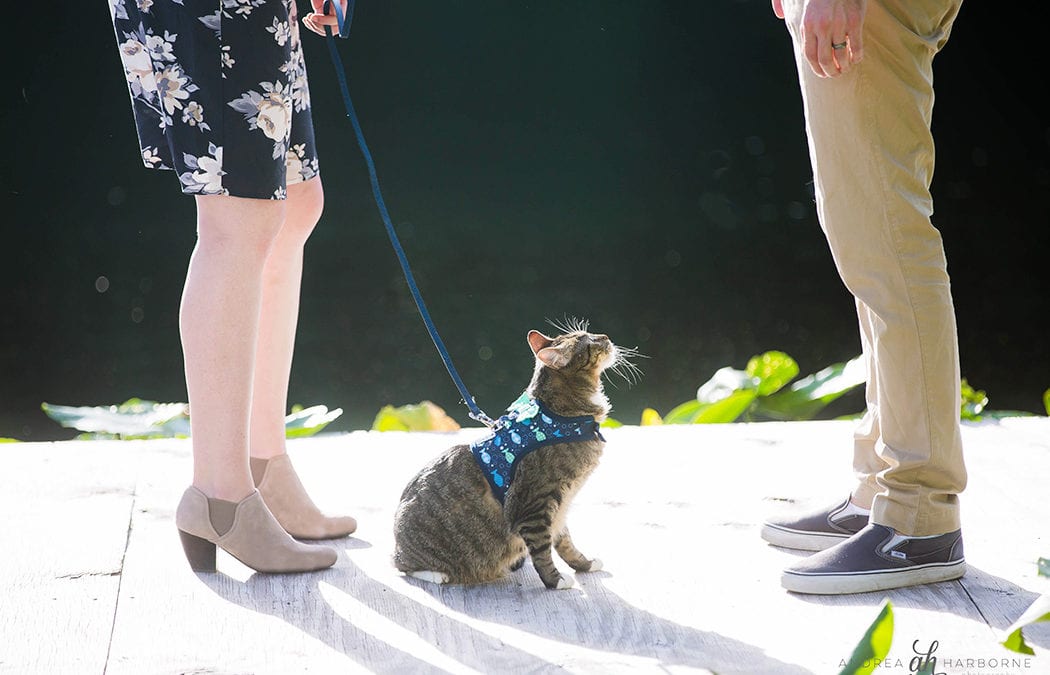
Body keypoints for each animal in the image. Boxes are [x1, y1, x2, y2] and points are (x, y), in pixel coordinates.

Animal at [394, 321, 638, 592]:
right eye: (589, 341)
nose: (605, 336)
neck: (562, 415)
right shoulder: (535, 507)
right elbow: (543, 551)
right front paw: (555, 580)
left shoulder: (560, 507)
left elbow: (565, 542)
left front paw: (585, 564)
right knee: (402, 566)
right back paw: (438, 574)